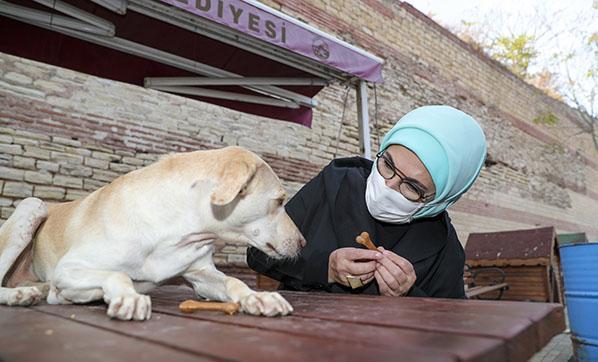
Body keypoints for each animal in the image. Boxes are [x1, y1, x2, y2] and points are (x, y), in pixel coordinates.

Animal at [0, 146, 308, 320]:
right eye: (280, 201)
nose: (304, 243)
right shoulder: (68, 269)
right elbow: (118, 275)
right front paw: (128, 297)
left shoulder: (201, 275)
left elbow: (234, 281)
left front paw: (257, 297)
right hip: (33, 206)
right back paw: (19, 295)